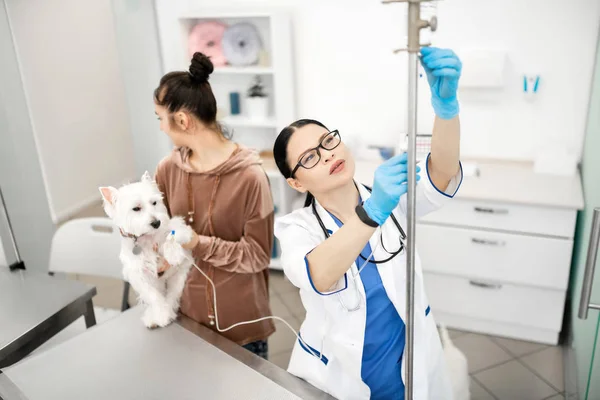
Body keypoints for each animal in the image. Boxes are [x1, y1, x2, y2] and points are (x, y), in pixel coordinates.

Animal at [98, 172, 192, 328]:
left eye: (154, 203)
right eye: (136, 208)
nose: (156, 223)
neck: (147, 238)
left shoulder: (176, 227)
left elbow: (174, 234)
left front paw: (173, 254)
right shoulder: (137, 274)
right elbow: (153, 296)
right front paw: (162, 316)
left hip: (178, 277)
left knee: (172, 294)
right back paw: (154, 317)